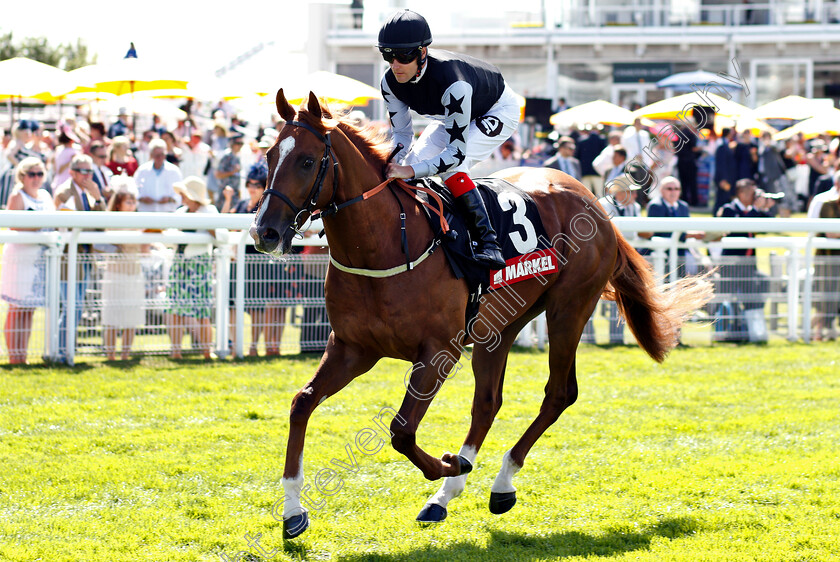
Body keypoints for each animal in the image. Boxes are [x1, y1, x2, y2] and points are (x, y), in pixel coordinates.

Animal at [253, 89, 712, 536]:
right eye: (269, 156)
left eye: (307, 160)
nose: (265, 232)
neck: (385, 243)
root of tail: (590, 199)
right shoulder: (352, 347)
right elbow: (301, 403)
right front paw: (292, 510)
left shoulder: (438, 352)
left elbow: (401, 431)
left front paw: (450, 463)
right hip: (499, 326)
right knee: (488, 402)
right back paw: (445, 496)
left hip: (569, 308)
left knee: (558, 393)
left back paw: (500, 482)